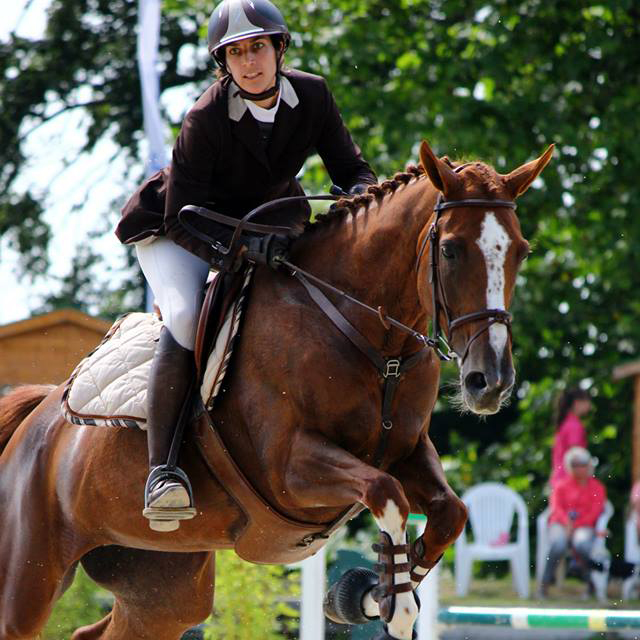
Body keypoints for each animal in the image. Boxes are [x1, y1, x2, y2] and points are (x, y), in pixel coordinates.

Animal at [0, 141, 552, 640]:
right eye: (451, 249)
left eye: (521, 252)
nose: (490, 382)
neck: (376, 341)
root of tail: (39, 415)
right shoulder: (289, 468)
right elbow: (385, 493)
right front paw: (387, 602)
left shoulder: (407, 450)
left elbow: (450, 513)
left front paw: (369, 592)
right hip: (28, 581)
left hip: (163, 588)